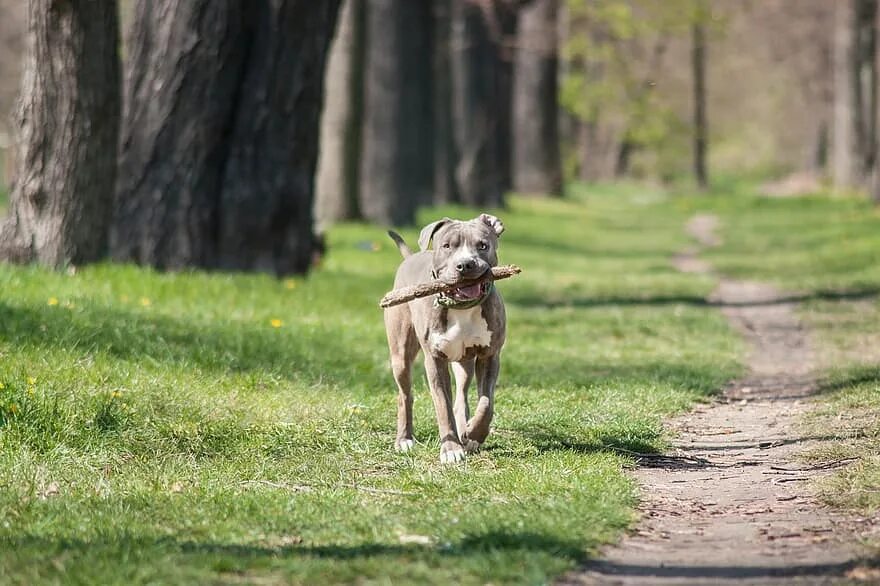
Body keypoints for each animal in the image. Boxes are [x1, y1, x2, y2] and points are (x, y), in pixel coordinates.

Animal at [384, 212, 506, 464]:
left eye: (483, 245)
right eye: (447, 246)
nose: (465, 264)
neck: (461, 306)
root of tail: (412, 256)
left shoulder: (490, 355)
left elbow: (486, 403)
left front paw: (474, 435)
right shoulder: (435, 360)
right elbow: (442, 406)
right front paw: (451, 449)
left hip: (464, 362)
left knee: (461, 396)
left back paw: (465, 430)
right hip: (400, 356)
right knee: (405, 395)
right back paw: (404, 439)